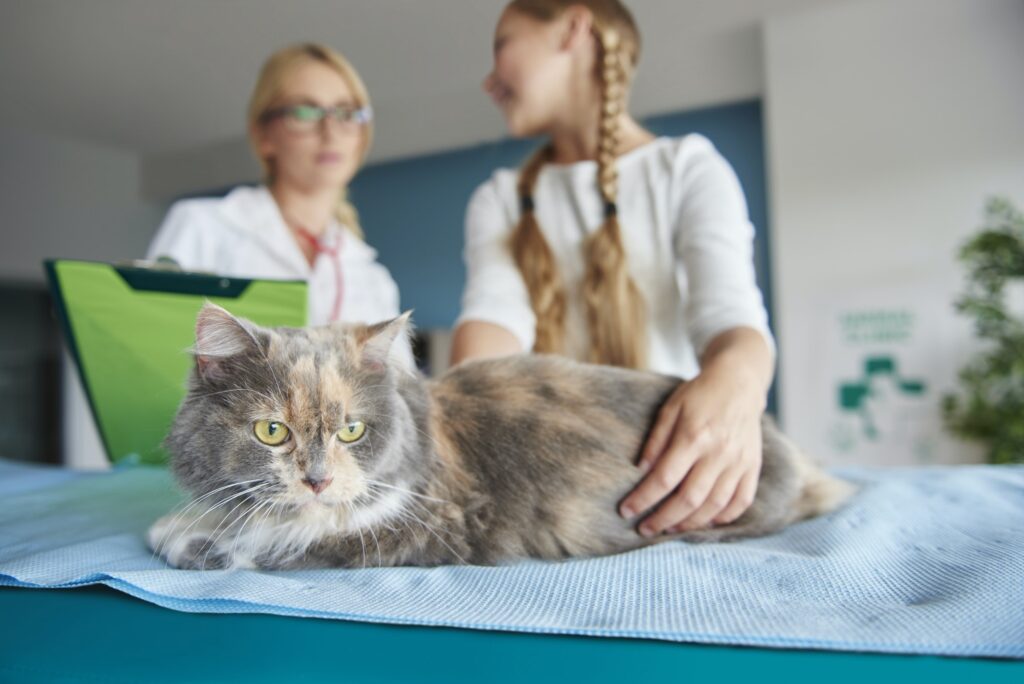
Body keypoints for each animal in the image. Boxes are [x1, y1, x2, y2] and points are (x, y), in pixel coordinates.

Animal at [149, 305, 856, 573]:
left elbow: (278, 540)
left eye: (352, 430)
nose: (318, 479)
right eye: (273, 431)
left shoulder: (422, 524)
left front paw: (183, 538)